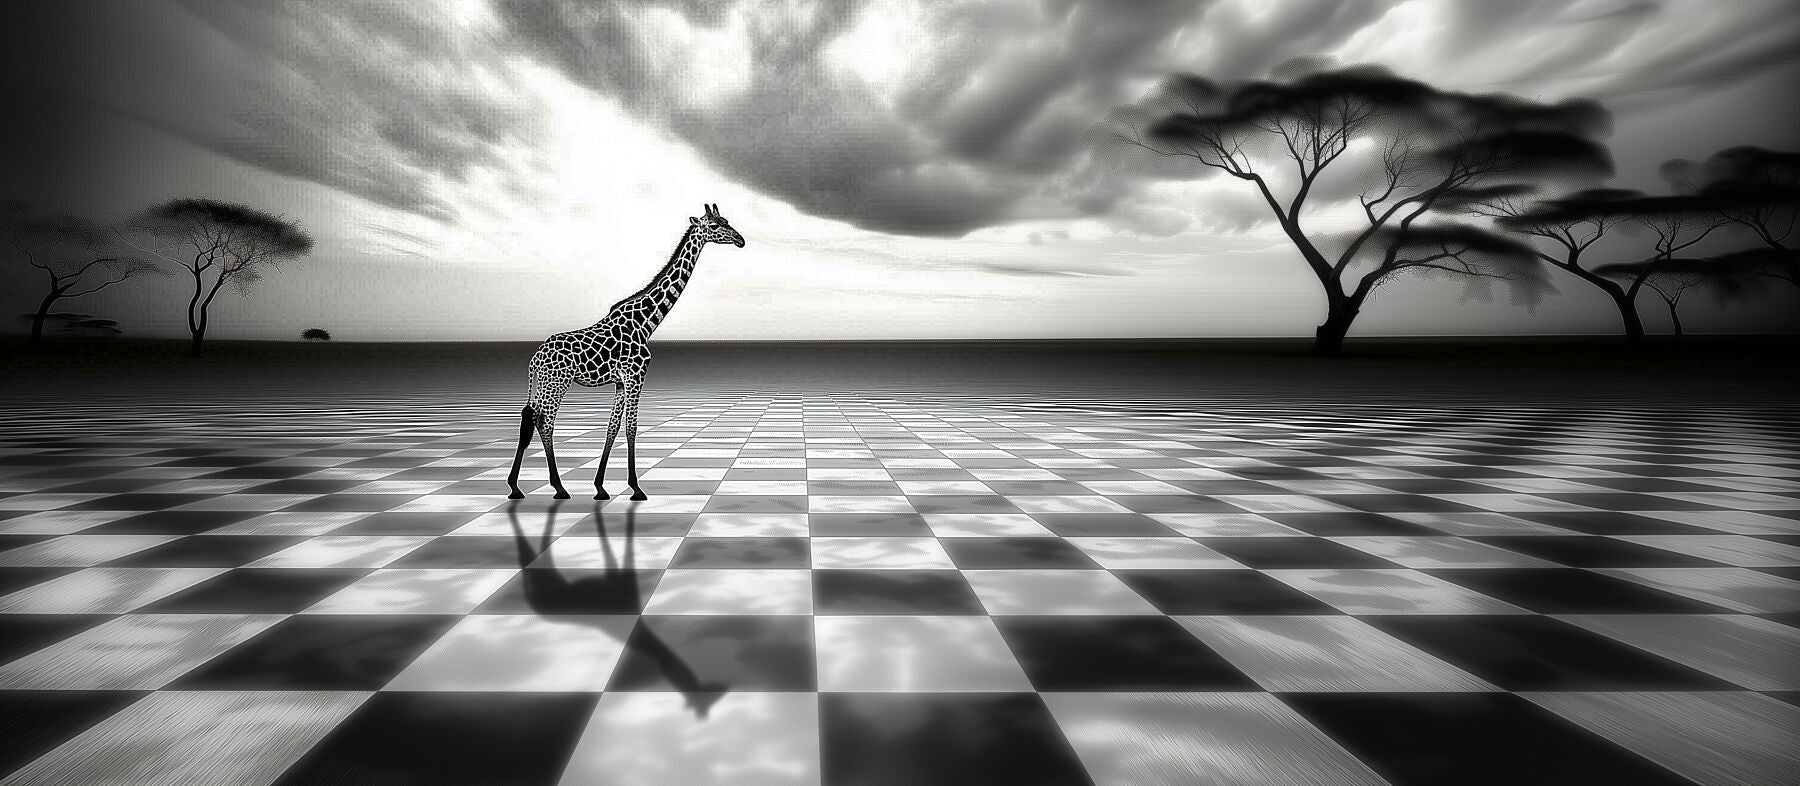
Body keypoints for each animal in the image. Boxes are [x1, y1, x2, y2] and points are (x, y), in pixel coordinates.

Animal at [507, 203, 745, 500]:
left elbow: (612, 428)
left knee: (529, 417)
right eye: (713, 226)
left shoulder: (621, 382)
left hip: (544, 383)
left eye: (726, 220)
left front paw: (600, 487)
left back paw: (516, 486)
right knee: (545, 422)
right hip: (558, 383)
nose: (740, 240)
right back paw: (559, 487)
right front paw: (635, 487)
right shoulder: (635, 376)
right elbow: (632, 427)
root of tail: (534, 359)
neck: (645, 323)